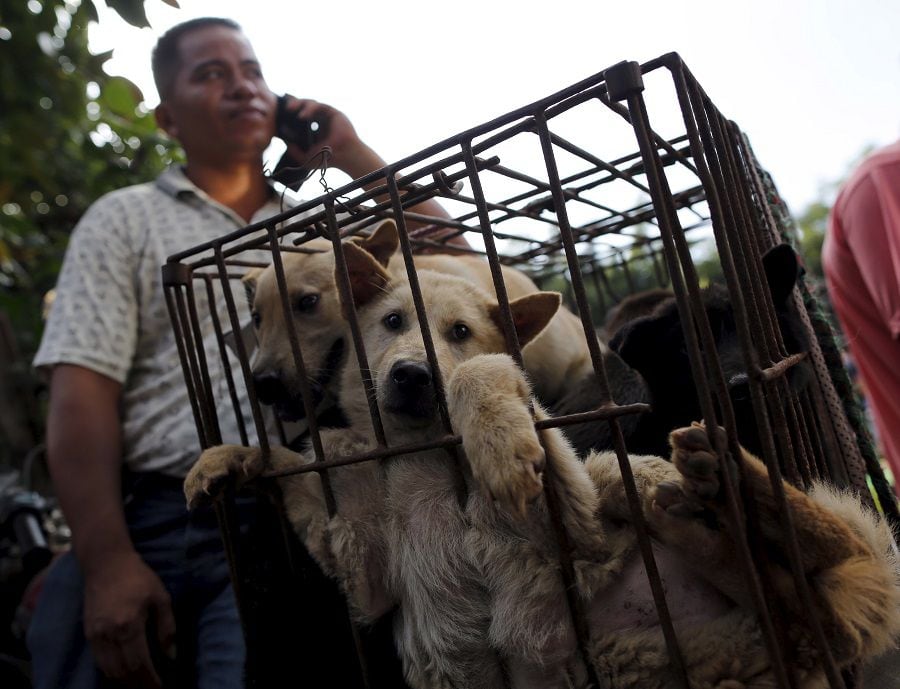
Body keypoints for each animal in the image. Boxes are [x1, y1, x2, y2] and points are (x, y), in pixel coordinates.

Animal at [185, 245, 900, 688]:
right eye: (390, 322)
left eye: (460, 333)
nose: (412, 375)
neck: (420, 460)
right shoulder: (364, 574)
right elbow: (296, 479)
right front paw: (234, 459)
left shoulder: (568, 526)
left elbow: (491, 374)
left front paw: (498, 443)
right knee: (795, 605)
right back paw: (717, 519)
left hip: (612, 477)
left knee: (831, 564)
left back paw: (733, 483)